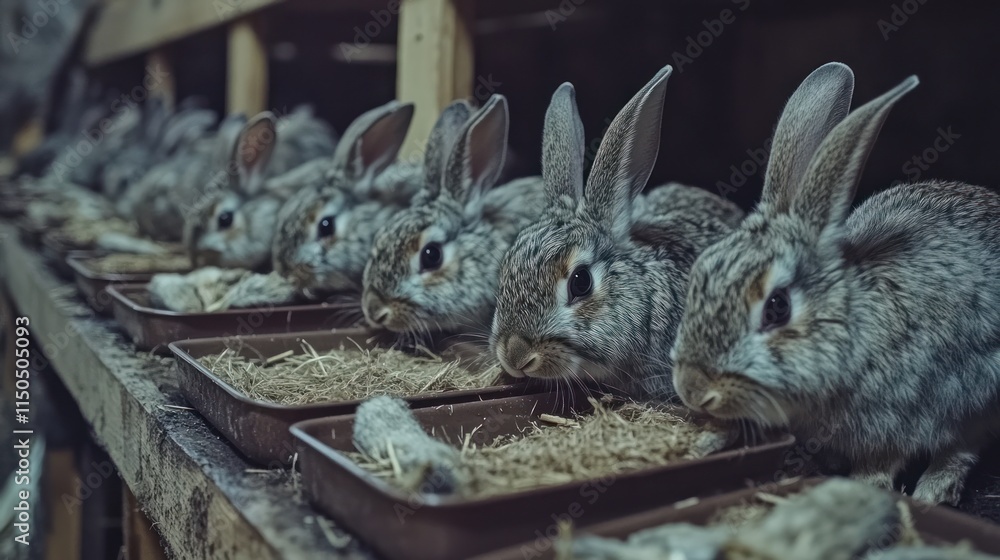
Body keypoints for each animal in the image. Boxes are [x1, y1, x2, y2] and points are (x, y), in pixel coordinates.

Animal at [668, 62, 1000, 506]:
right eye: (699, 275)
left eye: (777, 307)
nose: (692, 390)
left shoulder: (902, 413)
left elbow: (885, 459)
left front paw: (865, 485)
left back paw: (933, 491)